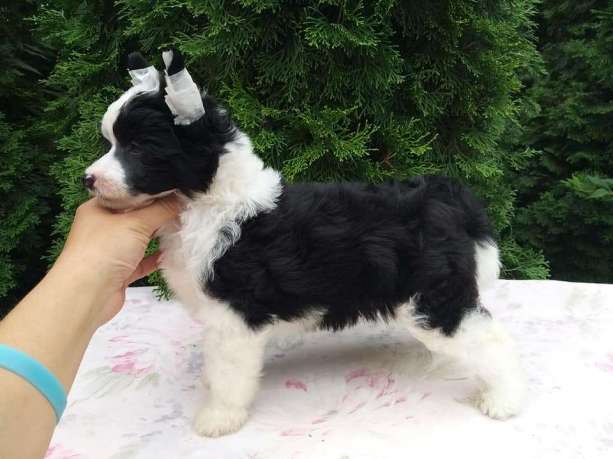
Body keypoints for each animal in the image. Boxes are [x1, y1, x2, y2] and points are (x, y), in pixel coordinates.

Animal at [84, 49, 526, 437]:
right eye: (111, 143)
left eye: (137, 147)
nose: (88, 179)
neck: (210, 201)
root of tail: (446, 198)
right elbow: (215, 361)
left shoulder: (235, 317)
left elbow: (229, 374)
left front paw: (219, 417)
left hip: (432, 299)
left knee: (491, 340)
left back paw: (504, 398)